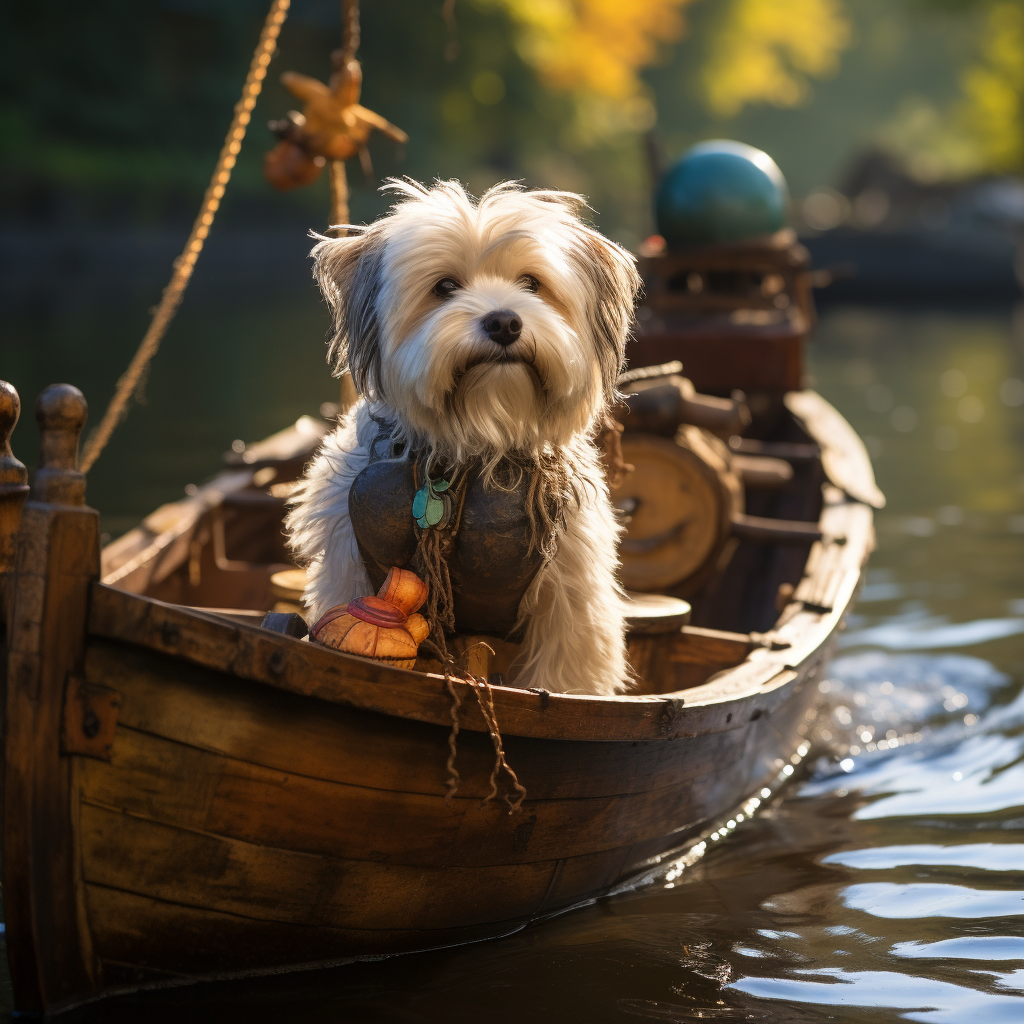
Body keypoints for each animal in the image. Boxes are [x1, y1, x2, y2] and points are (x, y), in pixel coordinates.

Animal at [286, 180, 638, 700]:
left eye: (531, 283)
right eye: (445, 287)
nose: (505, 322)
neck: (477, 443)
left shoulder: (570, 604)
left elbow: (563, 680)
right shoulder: (350, 568)